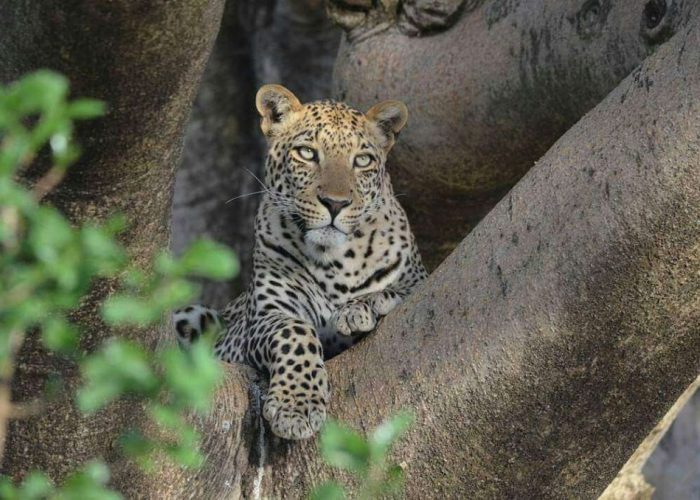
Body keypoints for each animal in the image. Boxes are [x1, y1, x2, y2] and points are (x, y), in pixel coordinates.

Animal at [173, 84, 427, 440]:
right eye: (307, 153)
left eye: (362, 160)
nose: (335, 203)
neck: (336, 261)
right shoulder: (260, 320)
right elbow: (296, 332)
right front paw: (296, 407)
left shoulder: (420, 280)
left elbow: (400, 291)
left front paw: (365, 305)